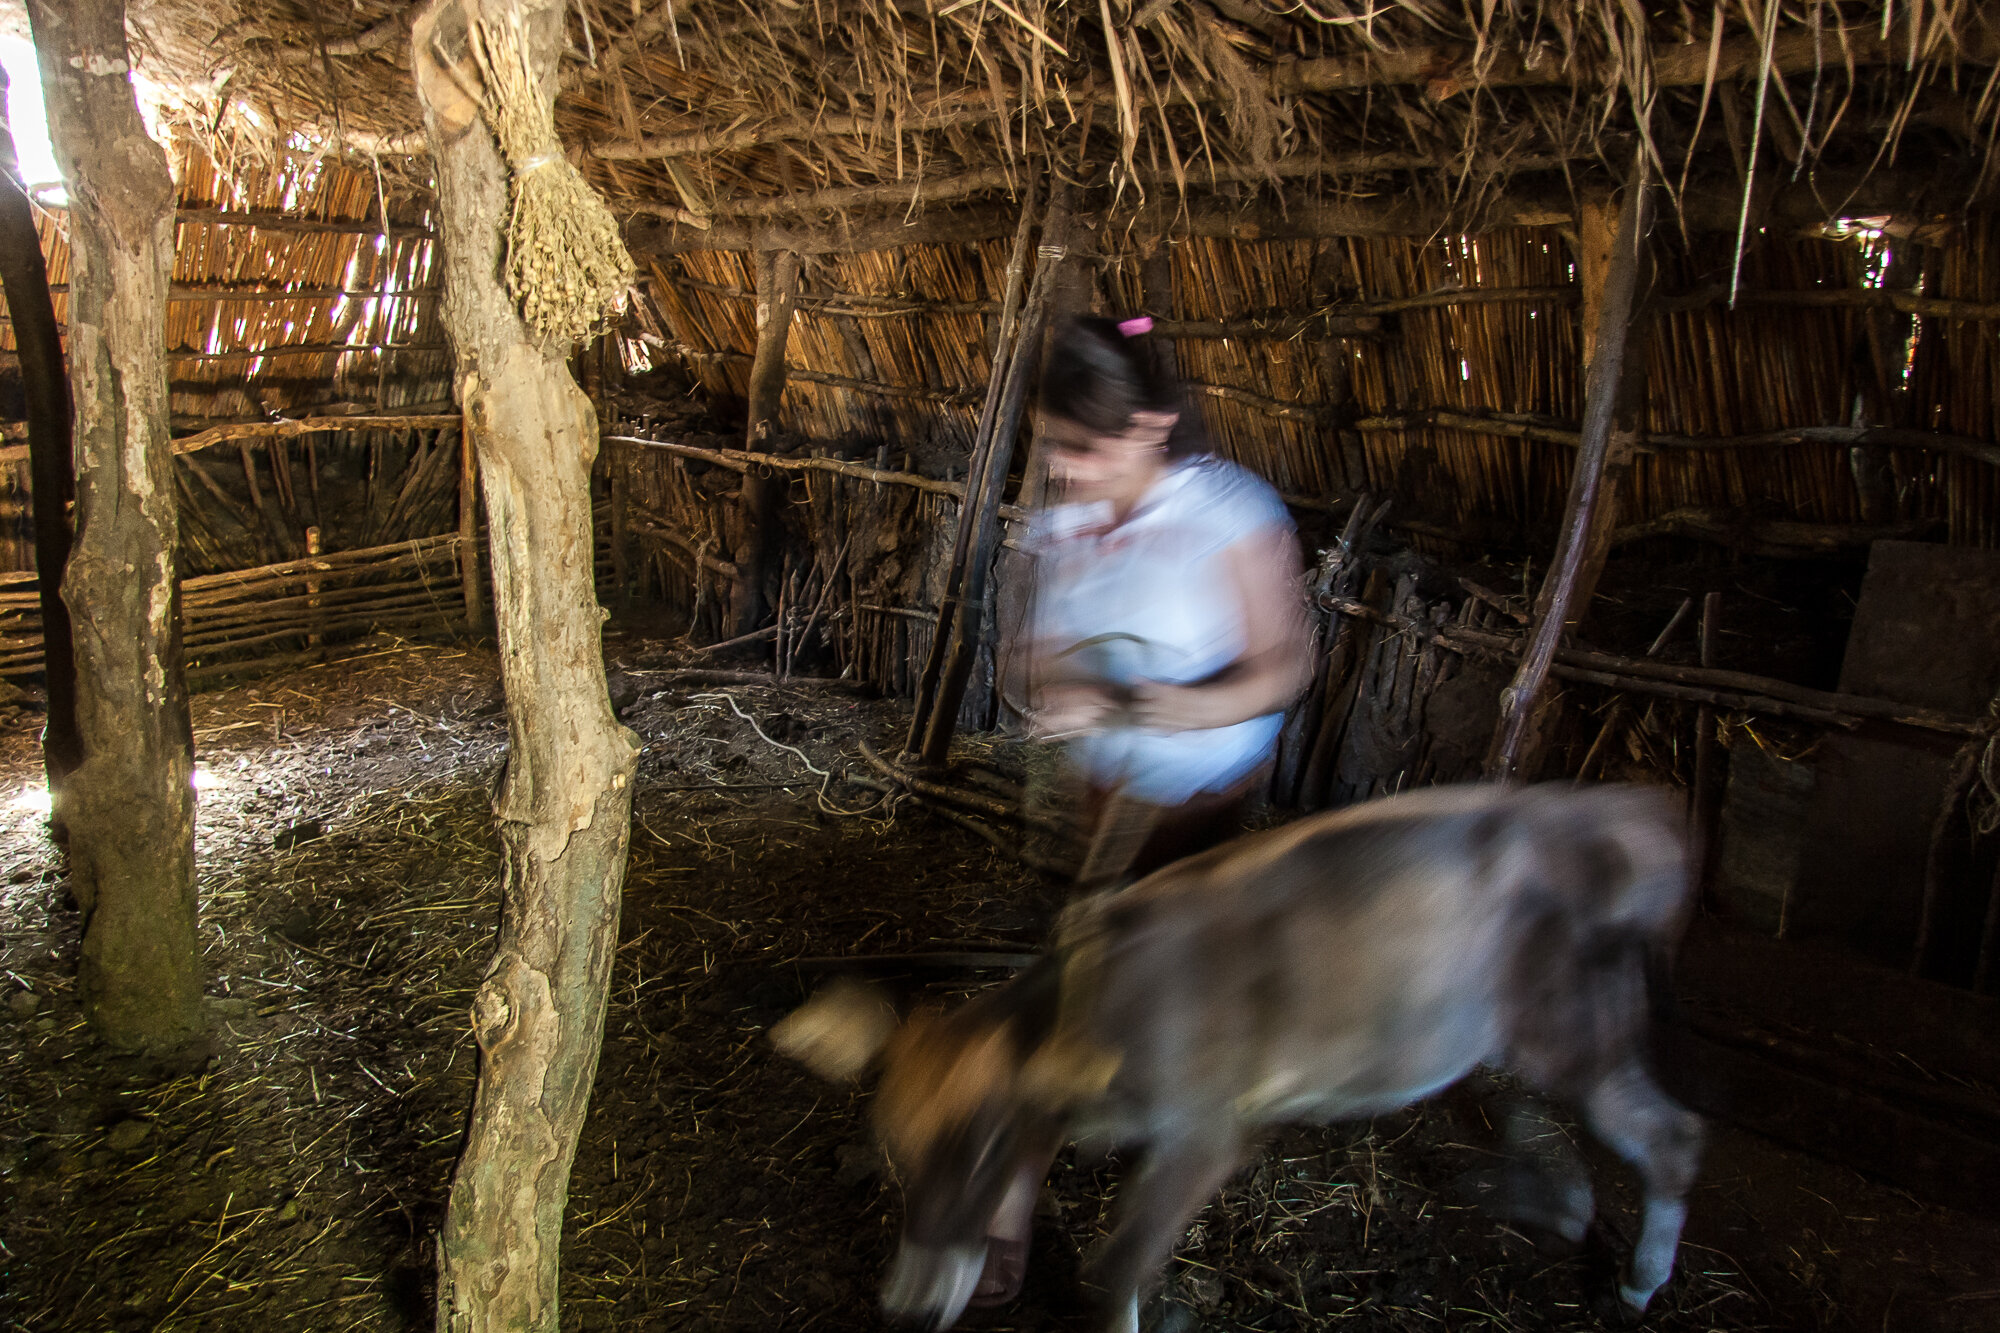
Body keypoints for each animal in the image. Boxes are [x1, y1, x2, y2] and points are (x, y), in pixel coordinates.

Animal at [772, 780, 1712, 1328]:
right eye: (897, 1149)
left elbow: (1112, 1269)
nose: (903, 1310)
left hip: (1567, 1021)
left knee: (1669, 1134)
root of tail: (1620, 809)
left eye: (980, 1147)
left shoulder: (1210, 1128)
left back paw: (1635, 1286)